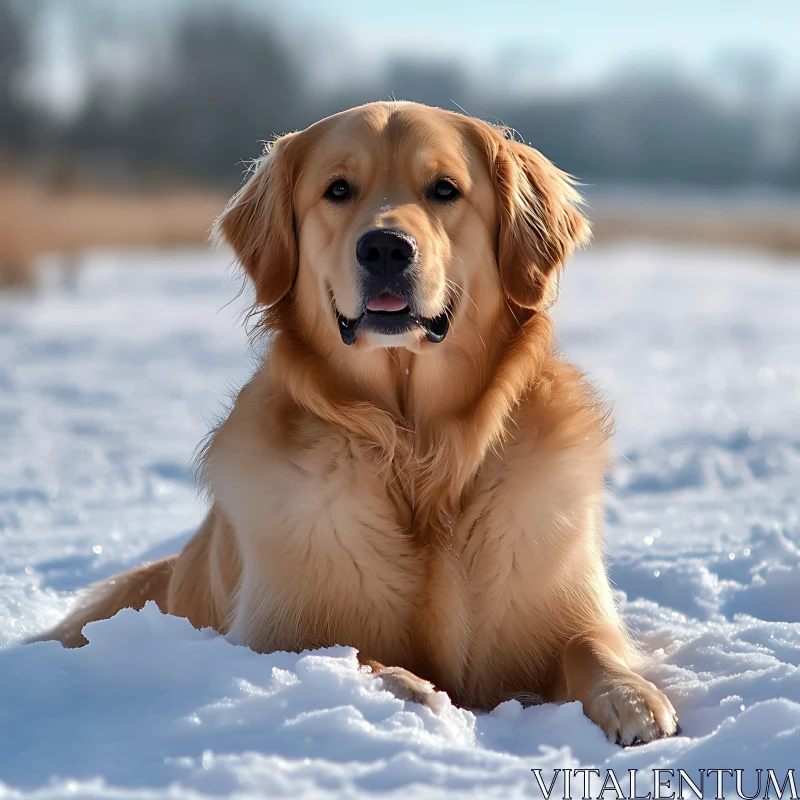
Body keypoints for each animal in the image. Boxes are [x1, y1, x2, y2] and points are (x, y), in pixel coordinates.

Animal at [36, 103, 676, 748]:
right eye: (338, 190)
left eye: (444, 189)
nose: (386, 247)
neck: (418, 455)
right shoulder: (277, 632)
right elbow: (350, 653)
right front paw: (415, 692)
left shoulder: (564, 605)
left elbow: (590, 646)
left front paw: (632, 697)